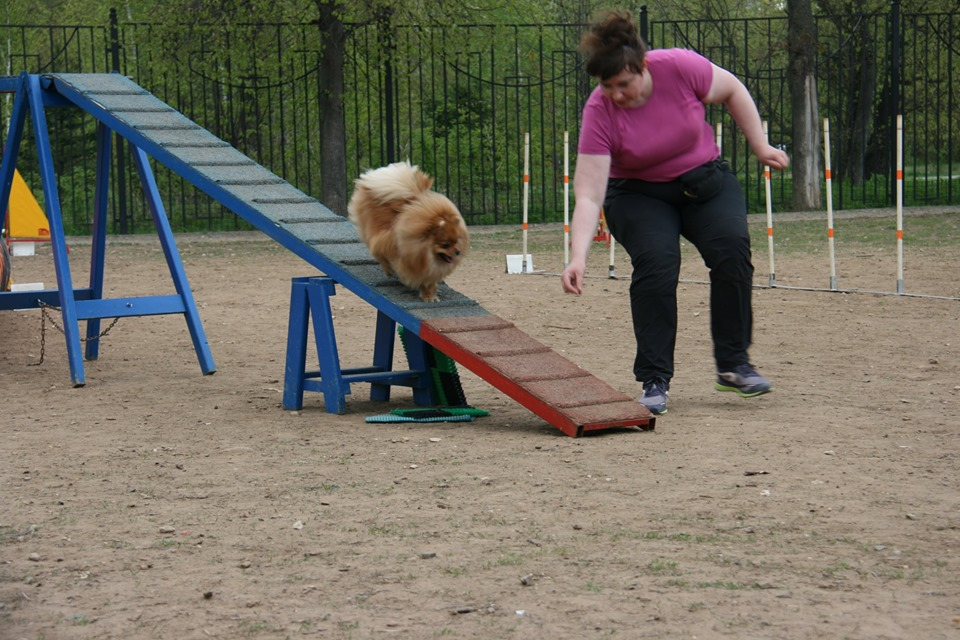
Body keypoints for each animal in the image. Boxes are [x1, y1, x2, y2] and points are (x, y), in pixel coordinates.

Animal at [348, 161, 468, 302]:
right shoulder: (385, 243)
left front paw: (429, 295)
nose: (458, 251)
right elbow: (385, 259)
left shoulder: (427, 269)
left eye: (456, 242)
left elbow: (428, 281)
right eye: (445, 245)